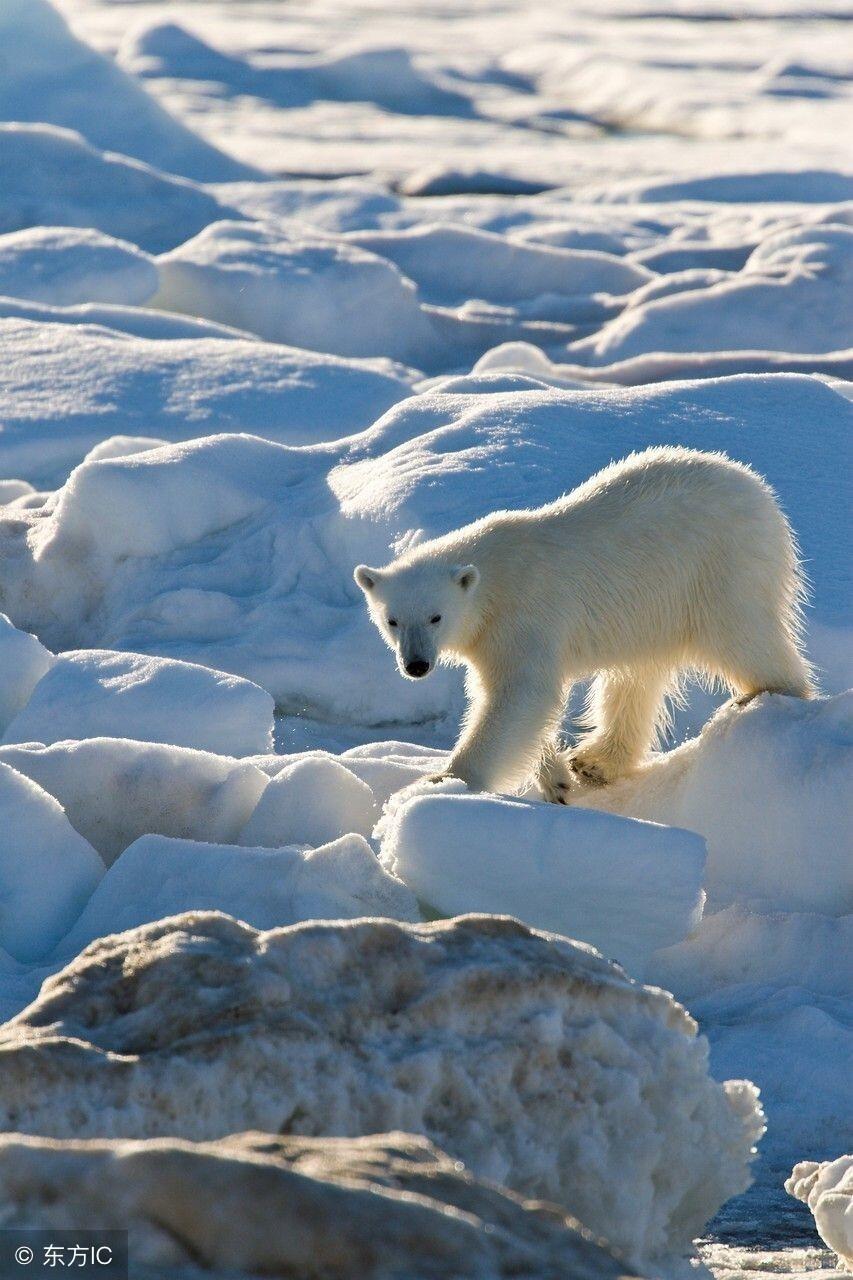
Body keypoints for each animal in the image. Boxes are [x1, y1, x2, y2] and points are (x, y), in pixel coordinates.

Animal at [350, 445, 809, 793]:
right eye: (392, 620)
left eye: (436, 617)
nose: (416, 665)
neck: (494, 577)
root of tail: (760, 492)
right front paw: (555, 778)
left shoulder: (522, 616)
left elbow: (522, 694)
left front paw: (447, 779)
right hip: (651, 611)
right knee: (636, 679)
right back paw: (594, 761)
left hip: (720, 570)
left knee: (744, 637)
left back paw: (769, 698)